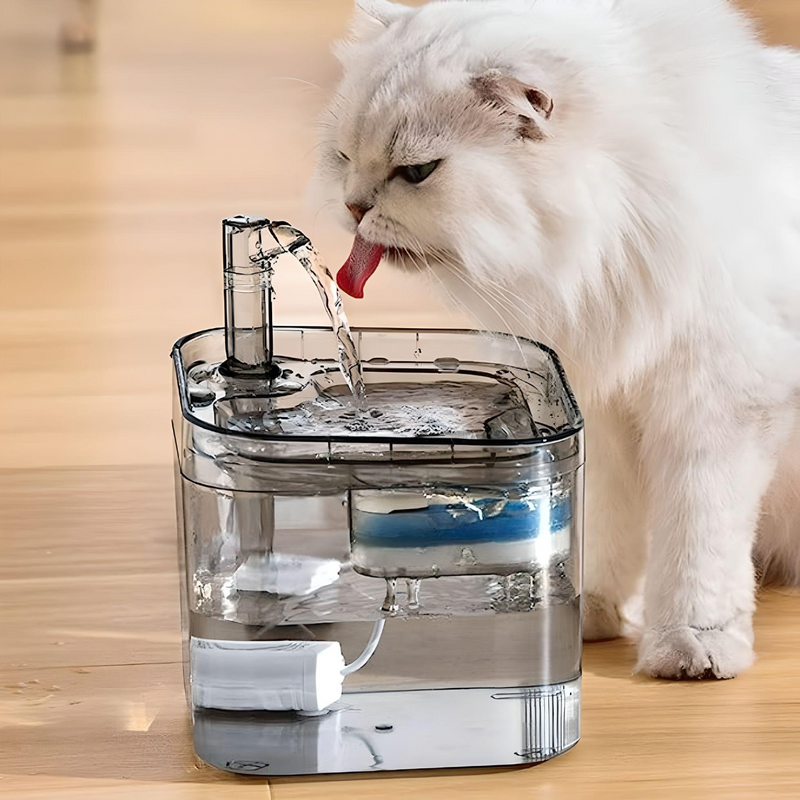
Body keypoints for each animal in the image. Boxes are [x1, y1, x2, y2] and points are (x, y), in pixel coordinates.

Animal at [312, 0, 800, 680]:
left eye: (416, 172)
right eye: (343, 157)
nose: (354, 207)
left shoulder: (715, 409)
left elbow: (697, 546)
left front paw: (691, 647)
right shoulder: (605, 408)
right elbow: (605, 527)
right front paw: (587, 608)